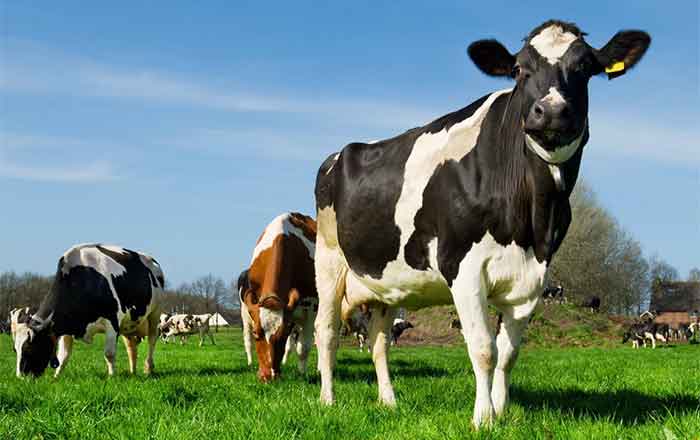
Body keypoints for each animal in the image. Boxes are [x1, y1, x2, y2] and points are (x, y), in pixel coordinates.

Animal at [13, 243, 163, 378]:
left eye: (29, 348)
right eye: (15, 350)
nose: (21, 377)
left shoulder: (112, 321)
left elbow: (109, 353)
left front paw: (112, 376)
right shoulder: (67, 325)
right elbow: (63, 355)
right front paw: (56, 376)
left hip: (155, 314)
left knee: (152, 339)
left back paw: (148, 368)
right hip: (130, 321)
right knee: (131, 346)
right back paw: (133, 372)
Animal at [240, 212, 318, 382]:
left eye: (283, 334)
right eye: (256, 333)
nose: (268, 376)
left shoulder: (310, 309)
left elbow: (304, 347)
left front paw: (302, 374)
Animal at [312, 20, 650, 427]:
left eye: (585, 67)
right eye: (519, 69)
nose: (552, 111)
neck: (531, 218)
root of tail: (341, 153)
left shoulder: (532, 277)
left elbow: (508, 353)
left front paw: (503, 411)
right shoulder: (464, 267)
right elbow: (484, 348)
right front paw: (483, 418)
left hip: (387, 280)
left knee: (379, 339)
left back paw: (389, 401)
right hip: (329, 261)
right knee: (327, 331)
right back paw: (328, 400)